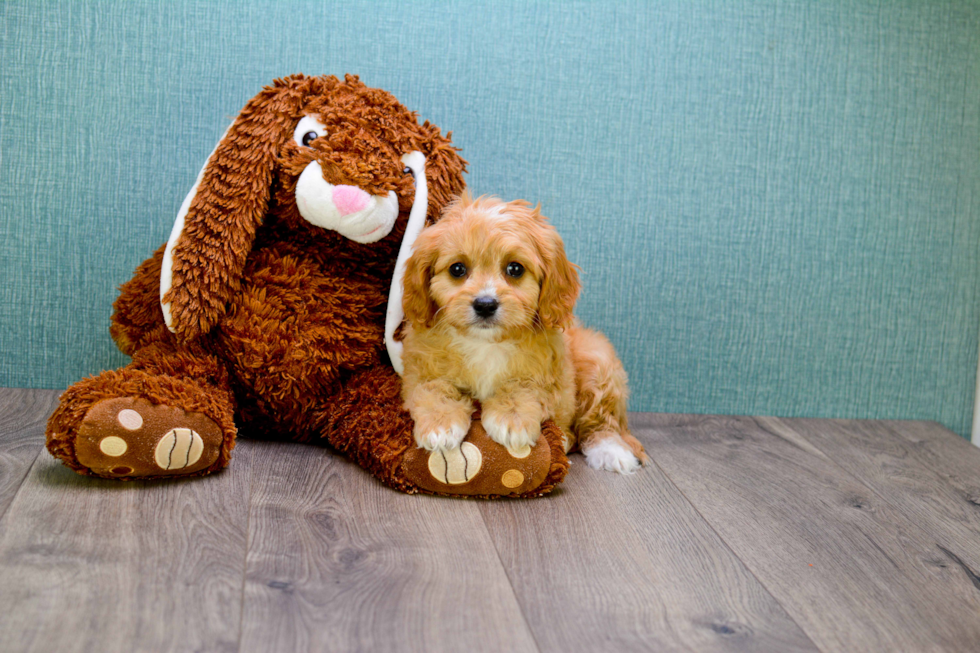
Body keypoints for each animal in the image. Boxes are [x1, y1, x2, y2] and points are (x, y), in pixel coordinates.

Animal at [398, 191, 644, 472]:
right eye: (457, 269)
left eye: (515, 269)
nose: (485, 304)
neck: (485, 343)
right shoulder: (420, 370)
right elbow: (434, 389)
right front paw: (440, 424)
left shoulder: (549, 374)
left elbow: (523, 386)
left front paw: (511, 419)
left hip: (597, 360)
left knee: (601, 422)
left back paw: (610, 451)